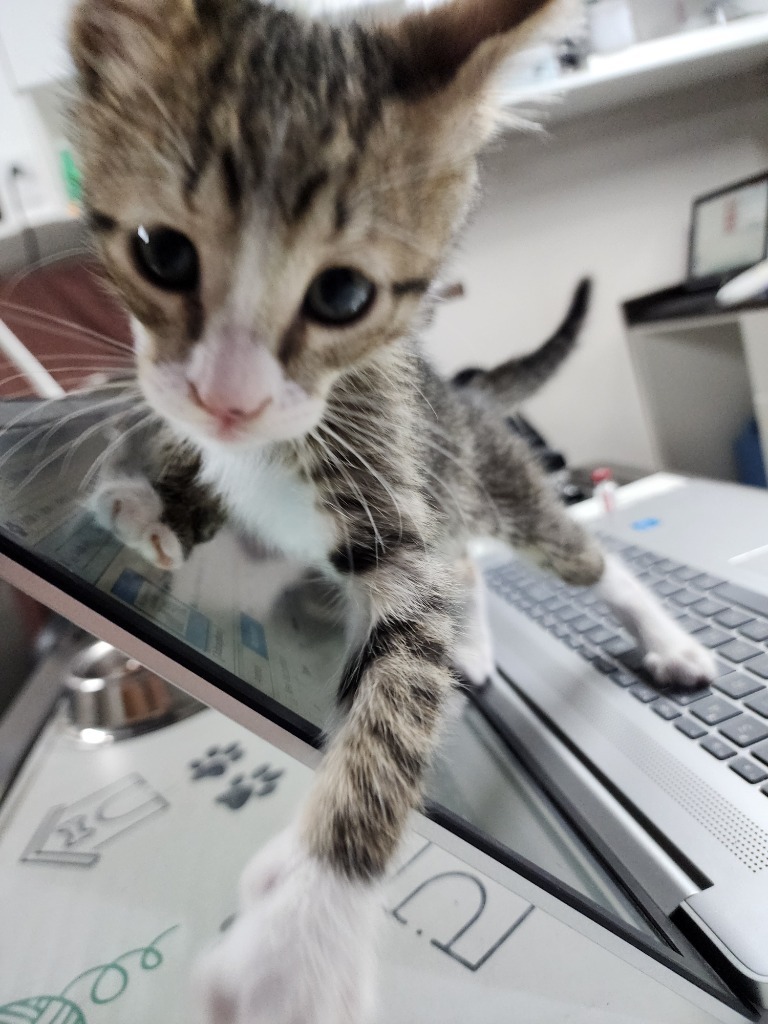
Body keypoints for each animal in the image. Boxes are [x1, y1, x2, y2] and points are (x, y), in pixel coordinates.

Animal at [69, 2, 712, 1024]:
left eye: (343, 294)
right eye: (159, 252)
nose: (229, 399)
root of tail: (472, 394)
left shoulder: (389, 506)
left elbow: (395, 703)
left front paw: (304, 937)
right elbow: (194, 470)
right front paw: (154, 503)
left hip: (495, 485)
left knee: (581, 558)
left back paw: (667, 641)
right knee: (467, 571)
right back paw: (476, 651)